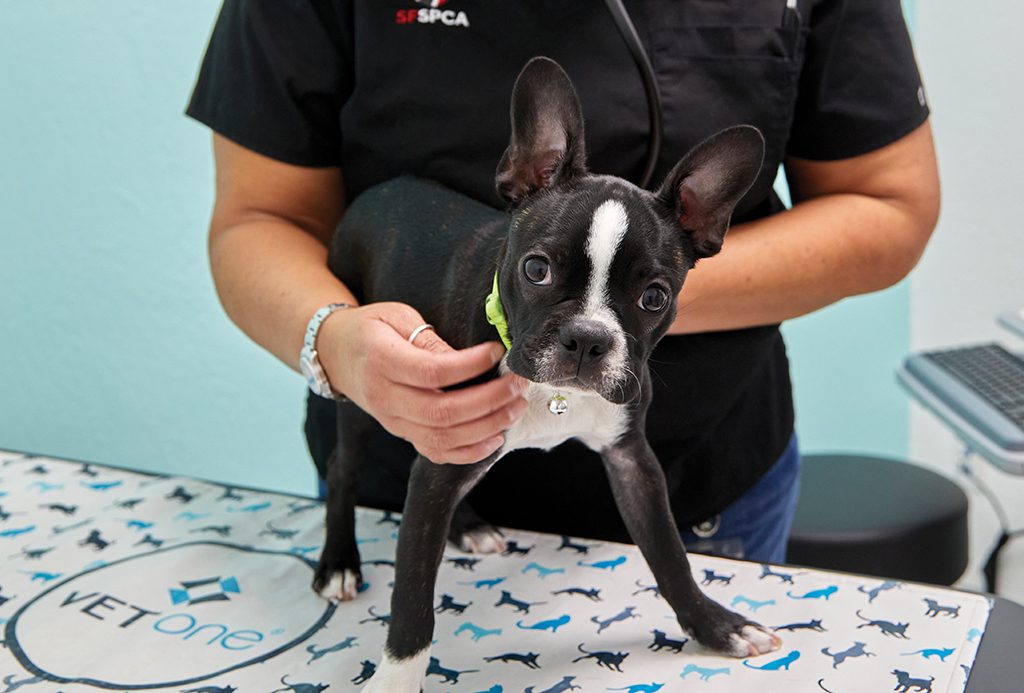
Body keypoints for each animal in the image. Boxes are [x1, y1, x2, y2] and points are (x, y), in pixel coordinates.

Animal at [311, 56, 774, 687]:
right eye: (536, 269)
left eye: (654, 298)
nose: (589, 338)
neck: (550, 391)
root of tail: (376, 193)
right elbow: (412, 600)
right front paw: (398, 679)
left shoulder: (633, 461)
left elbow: (669, 554)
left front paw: (716, 626)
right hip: (363, 395)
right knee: (344, 467)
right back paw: (339, 563)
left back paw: (468, 524)